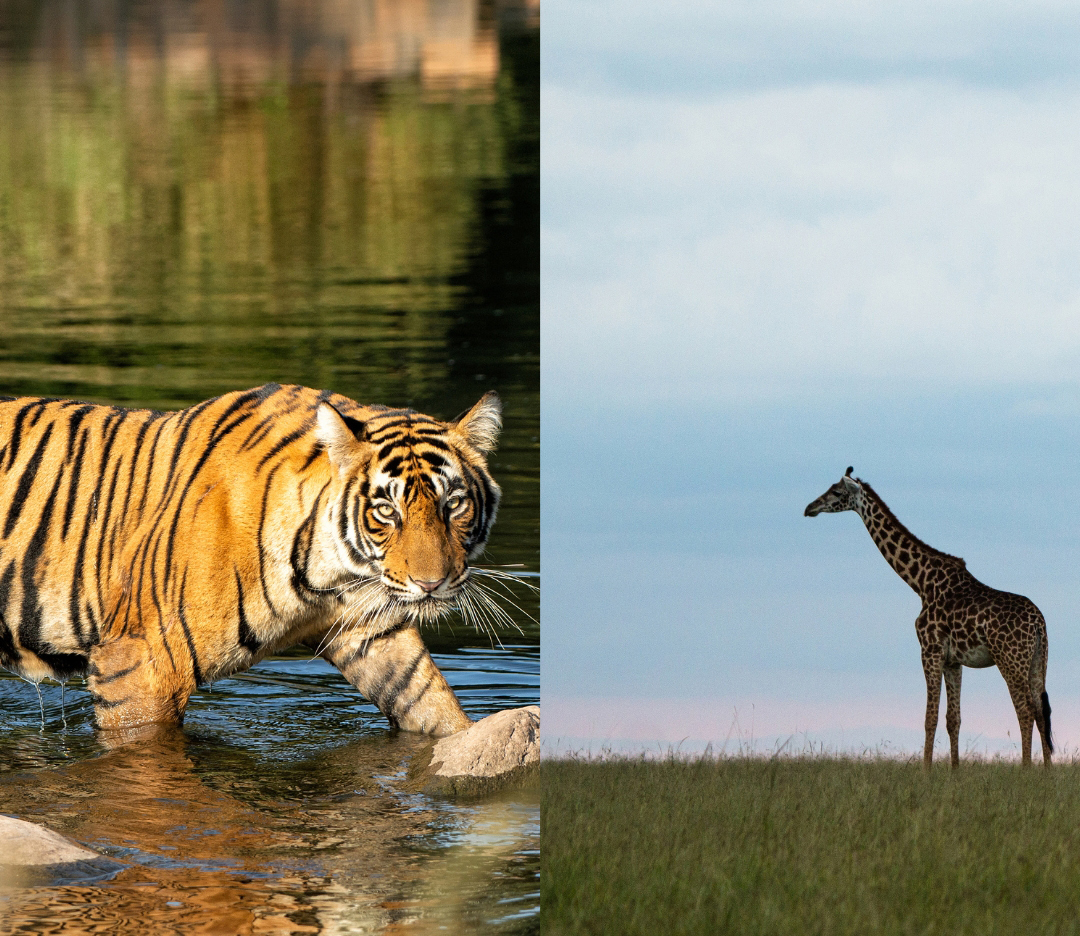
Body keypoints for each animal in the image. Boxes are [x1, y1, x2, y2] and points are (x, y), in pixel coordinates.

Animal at [0, 383, 504, 736]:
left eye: (453, 504)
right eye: (386, 510)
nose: (431, 584)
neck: (328, 575)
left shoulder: (371, 629)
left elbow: (428, 699)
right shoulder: (141, 663)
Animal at [804, 468, 1053, 768]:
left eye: (837, 492)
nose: (809, 508)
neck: (921, 582)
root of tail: (1038, 623)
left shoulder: (929, 650)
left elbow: (929, 718)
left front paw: (926, 771)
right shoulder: (953, 660)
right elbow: (953, 719)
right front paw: (954, 771)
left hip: (1010, 659)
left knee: (1025, 710)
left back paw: (1026, 769)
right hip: (1038, 660)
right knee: (1040, 710)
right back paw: (1047, 772)